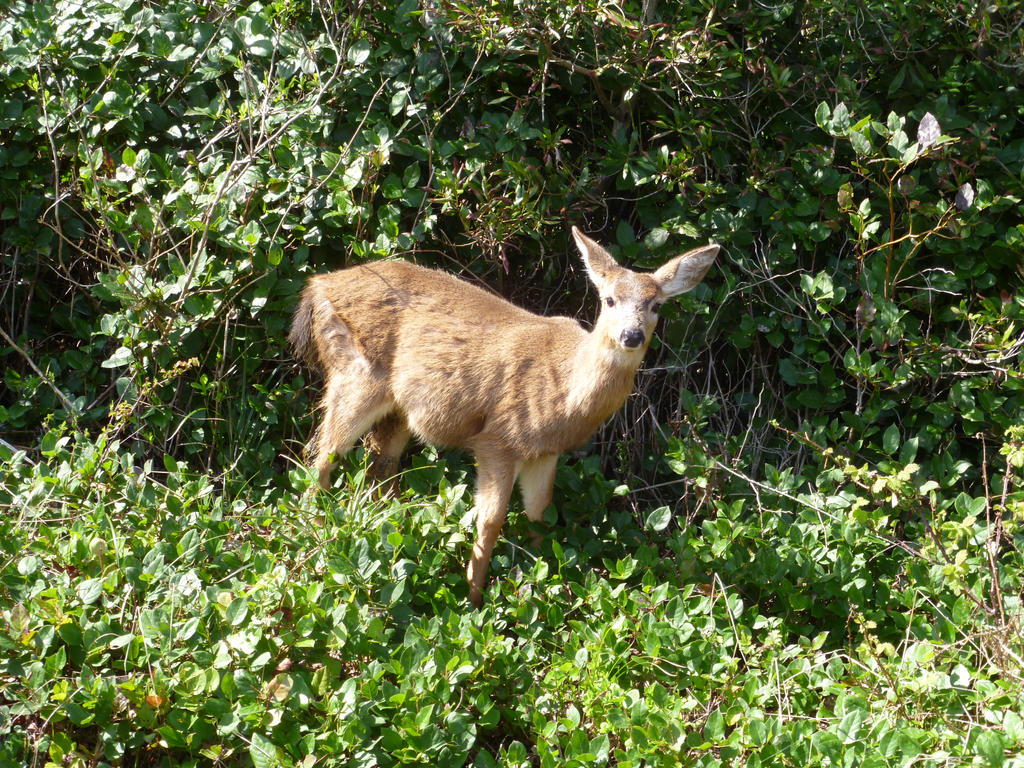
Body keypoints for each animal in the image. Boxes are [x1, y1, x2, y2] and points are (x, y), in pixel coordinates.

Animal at [288, 227, 720, 606]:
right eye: (610, 299)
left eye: (656, 304)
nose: (631, 336)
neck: (566, 391)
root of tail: (316, 286)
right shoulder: (498, 439)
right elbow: (490, 519)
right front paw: (474, 598)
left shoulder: (545, 452)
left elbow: (539, 512)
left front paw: (539, 578)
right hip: (355, 373)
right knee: (319, 459)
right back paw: (318, 538)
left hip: (396, 408)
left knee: (379, 463)